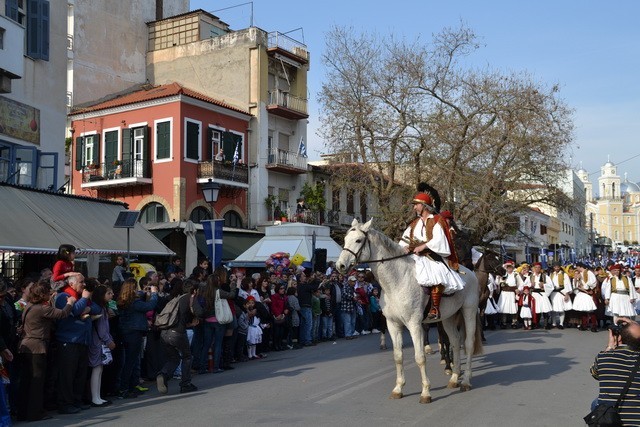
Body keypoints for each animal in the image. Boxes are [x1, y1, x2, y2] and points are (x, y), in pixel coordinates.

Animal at [336, 221, 480, 404]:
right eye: (345, 239)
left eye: (358, 240)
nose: (340, 265)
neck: (397, 281)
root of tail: (469, 273)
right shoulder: (393, 324)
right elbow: (398, 356)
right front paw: (398, 388)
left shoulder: (414, 324)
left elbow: (420, 357)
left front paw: (425, 392)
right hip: (448, 318)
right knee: (454, 342)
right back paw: (454, 378)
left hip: (469, 311)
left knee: (468, 344)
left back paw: (466, 381)